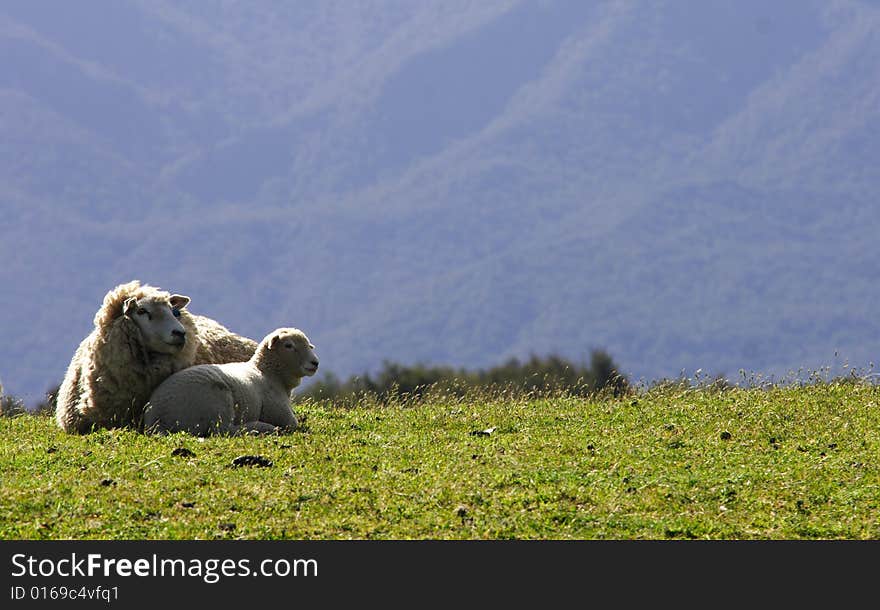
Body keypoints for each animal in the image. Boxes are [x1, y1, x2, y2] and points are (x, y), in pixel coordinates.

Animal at [143, 326, 322, 434]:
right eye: (288, 345)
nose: (315, 363)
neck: (268, 373)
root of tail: (157, 418)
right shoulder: (281, 414)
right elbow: (292, 424)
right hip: (218, 402)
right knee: (223, 431)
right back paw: (260, 428)